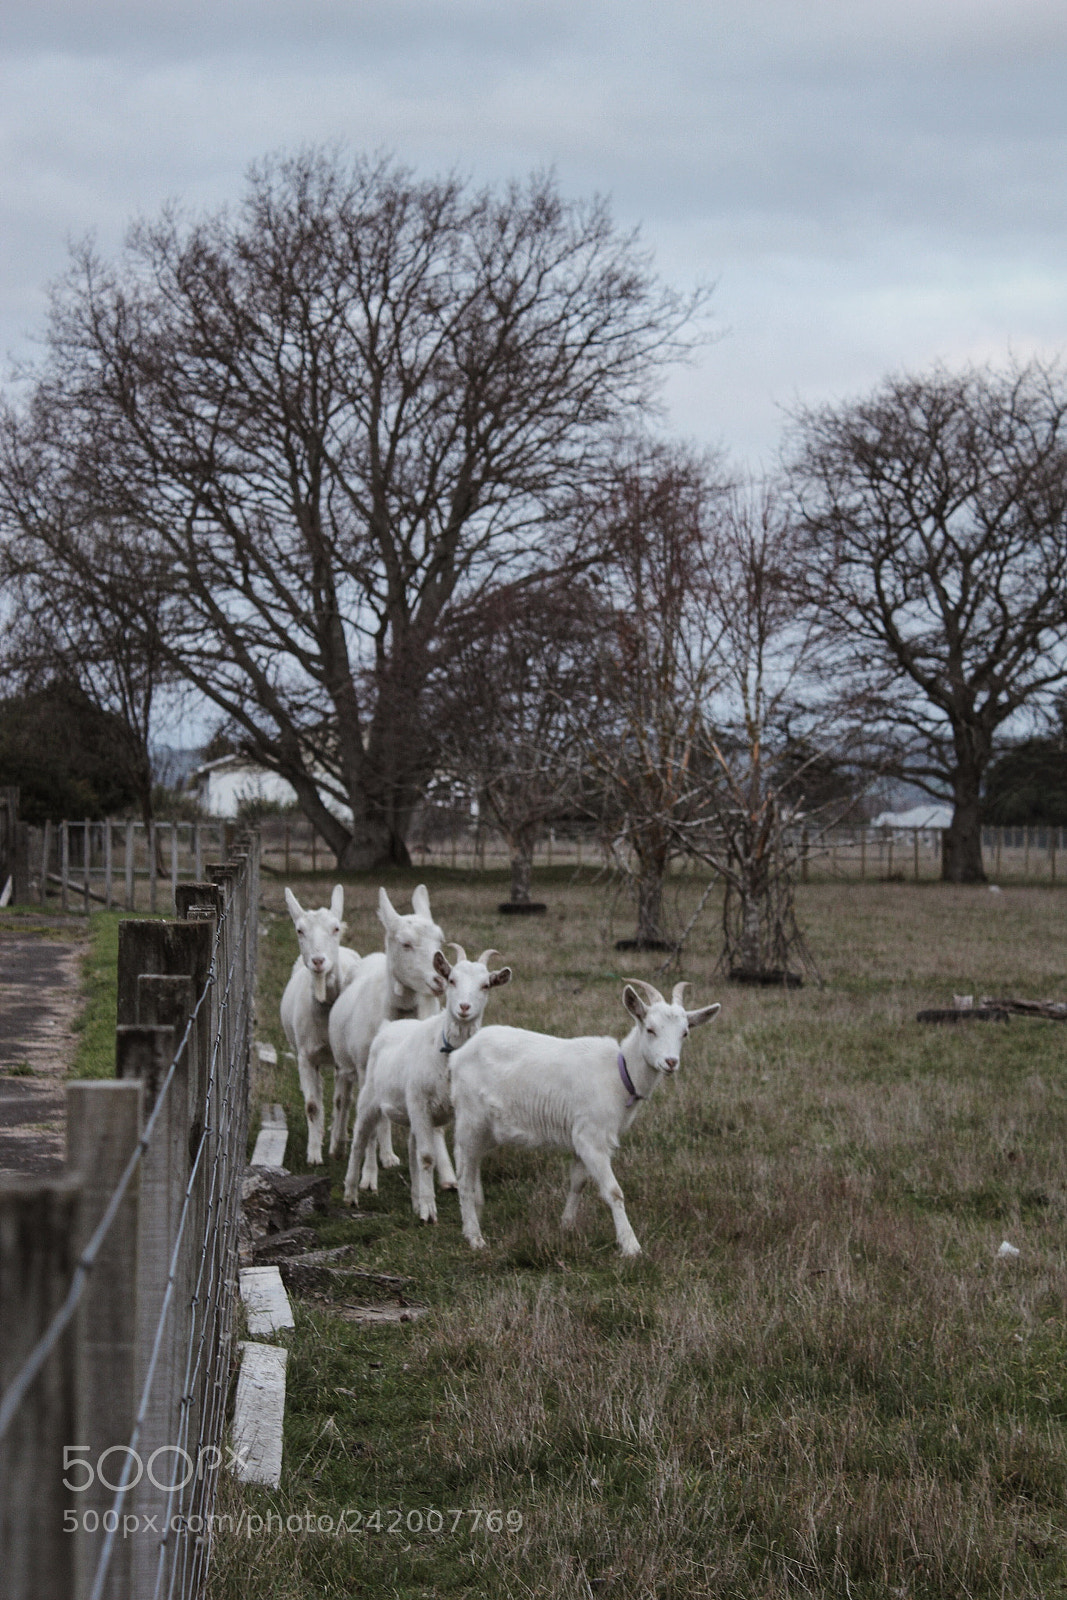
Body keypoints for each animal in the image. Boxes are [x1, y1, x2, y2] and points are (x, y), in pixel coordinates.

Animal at [279, 885, 361, 1165]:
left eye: (335, 928)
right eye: (299, 930)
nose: (318, 961)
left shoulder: (342, 1061)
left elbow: (341, 1101)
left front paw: (337, 1145)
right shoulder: (305, 1056)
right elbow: (312, 1105)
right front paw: (314, 1154)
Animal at [327, 884, 446, 1174]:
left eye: (440, 942)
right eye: (406, 943)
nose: (440, 979)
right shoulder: (363, 1066)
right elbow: (373, 1120)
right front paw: (378, 1163)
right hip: (345, 1062)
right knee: (343, 1098)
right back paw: (337, 1144)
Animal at [344, 945, 512, 1215]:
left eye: (486, 985)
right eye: (451, 980)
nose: (464, 1007)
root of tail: (388, 1026)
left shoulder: (454, 1110)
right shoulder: (420, 1103)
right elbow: (426, 1156)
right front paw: (429, 1210)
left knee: (411, 1148)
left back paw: (415, 1200)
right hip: (370, 1098)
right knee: (360, 1140)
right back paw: (351, 1193)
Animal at [449, 979, 720, 1256]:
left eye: (685, 1033)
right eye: (650, 1029)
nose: (671, 1062)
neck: (620, 1075)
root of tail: (457, 1056)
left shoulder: (581, 1136)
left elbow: (578, 1183)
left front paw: (566, 1226)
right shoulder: (592, 1136)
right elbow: (613, 1191)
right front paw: (631, 1246)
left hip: (489, 1127)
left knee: (471, 1161)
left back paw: (477, 1212)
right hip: (470, 1116)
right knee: (463, 1173)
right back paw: (474, 1236)